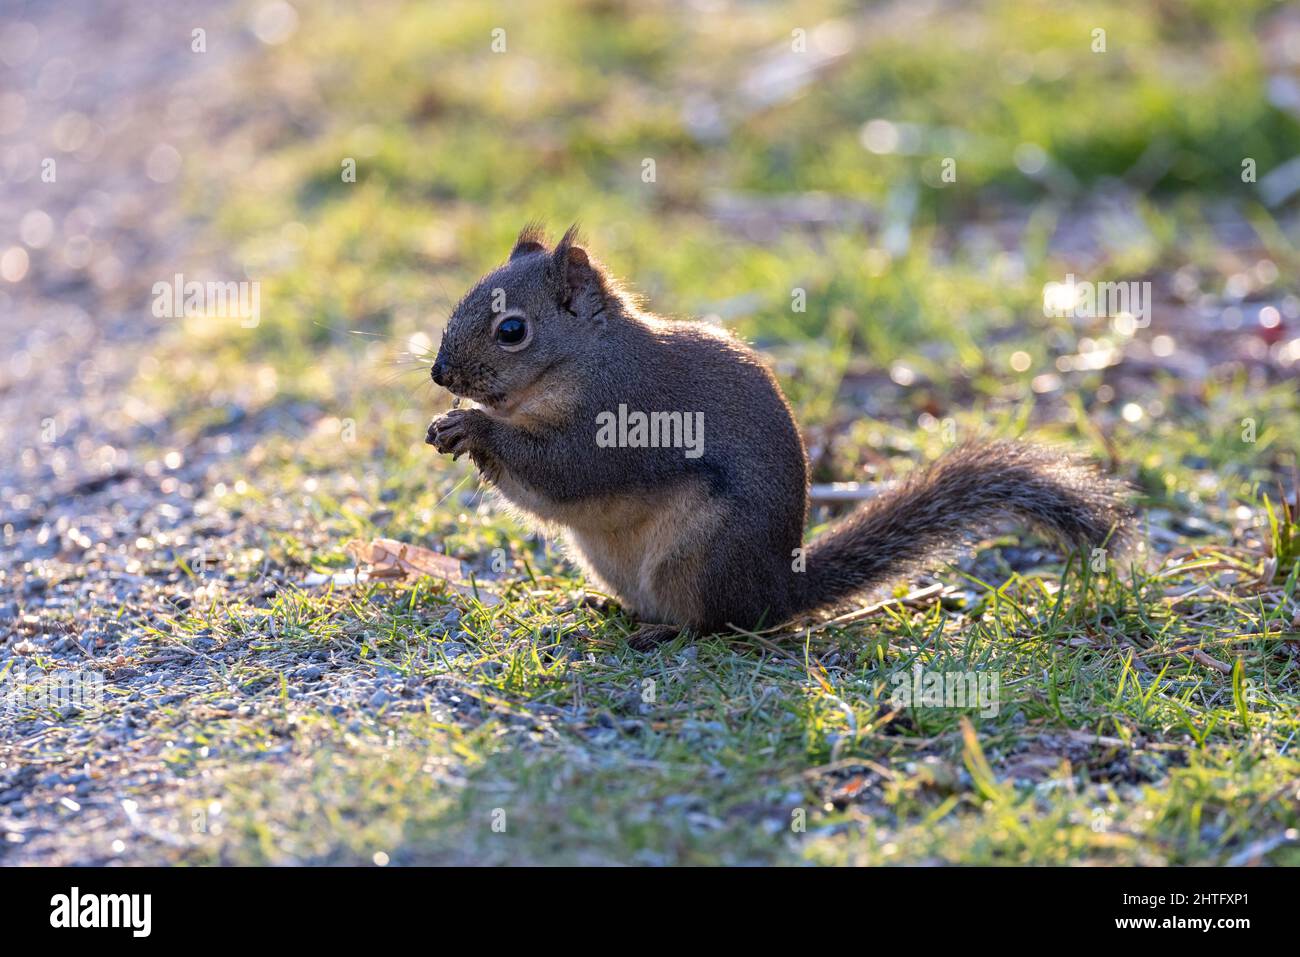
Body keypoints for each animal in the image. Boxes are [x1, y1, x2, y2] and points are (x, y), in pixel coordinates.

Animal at [426, 224, 1133, 649]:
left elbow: (566, 471)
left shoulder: (624, 414)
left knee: (717, 623)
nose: (439, 375)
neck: (582, 359)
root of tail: (778, 589)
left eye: (512, 330)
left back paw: (667, 634)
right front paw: (447, 424)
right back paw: (612, 609)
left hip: (701, 556)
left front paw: (473, 426)